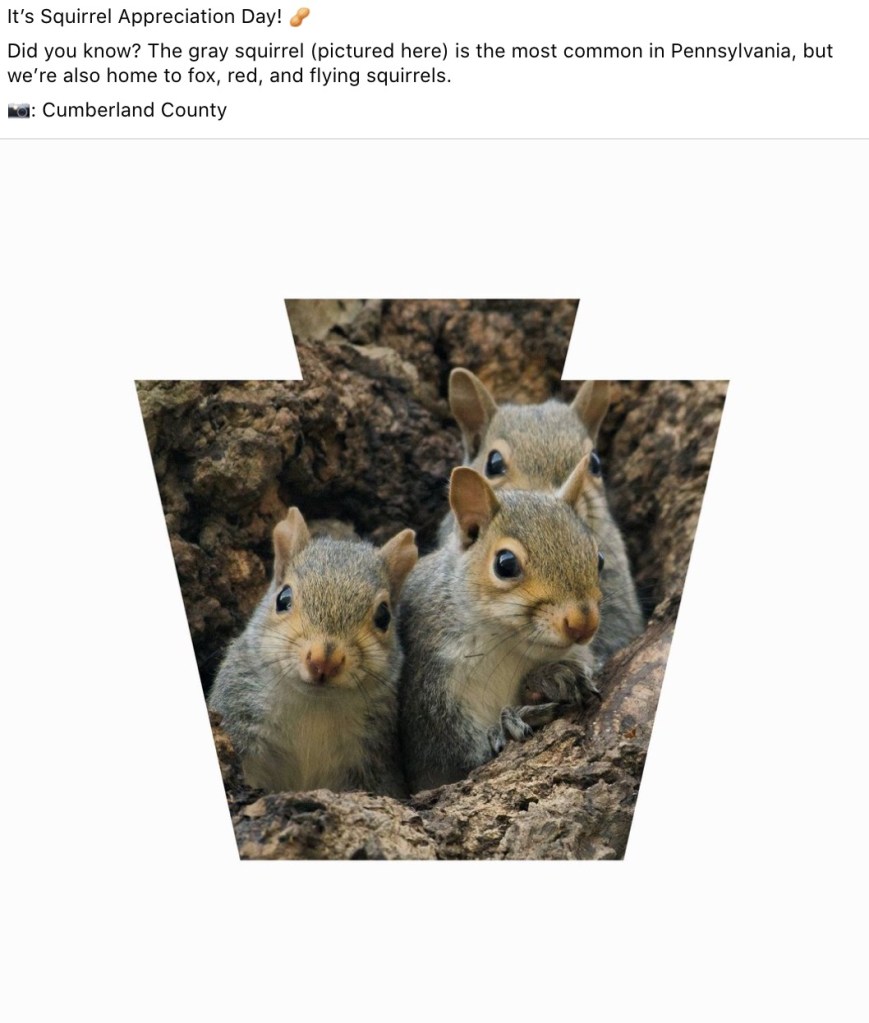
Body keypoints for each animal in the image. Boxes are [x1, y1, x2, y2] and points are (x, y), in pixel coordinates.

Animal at [398, 458, 603, 792]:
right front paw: (506, 727)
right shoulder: (430, 697)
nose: (583, 624)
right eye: (505, 564)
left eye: (599, 558)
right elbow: (453, 758)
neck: (506, 645)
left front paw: (551, 677)